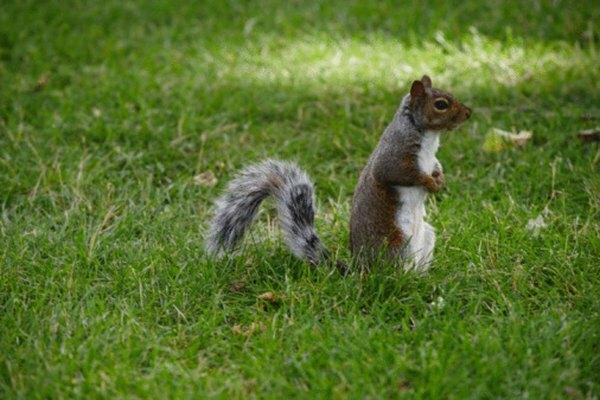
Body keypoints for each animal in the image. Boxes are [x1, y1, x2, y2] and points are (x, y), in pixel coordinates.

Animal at [204, 76, 472, 272]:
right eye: (441, 104)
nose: (469, 113)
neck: (428, 137)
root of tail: (361, 270)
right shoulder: (395, 155)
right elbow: (399, 174)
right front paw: (430, 183)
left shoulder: (430, 158)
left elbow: (436, 165)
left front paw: (440, 178)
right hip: (396, 244)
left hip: (426, 236)